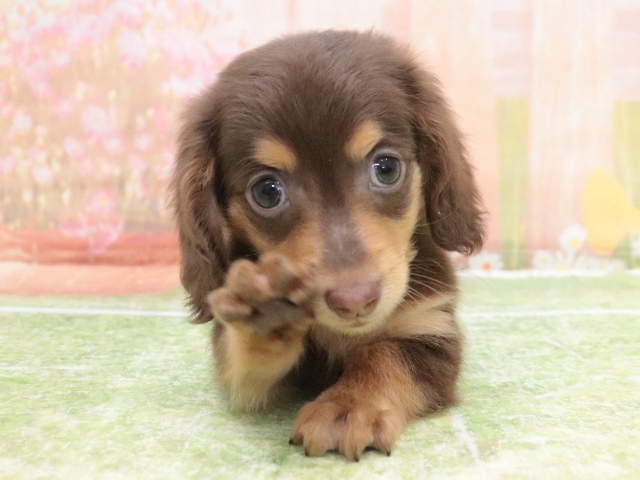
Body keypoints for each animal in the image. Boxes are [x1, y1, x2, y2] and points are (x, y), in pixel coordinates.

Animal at [171, 30, 484, 460]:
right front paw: (267, 314)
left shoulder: (429, 327)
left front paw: (350, 405)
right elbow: (244, 366)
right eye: (266, 192)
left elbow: (384, 355)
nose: (355, 301)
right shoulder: (240, 372)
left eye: (387, 168)